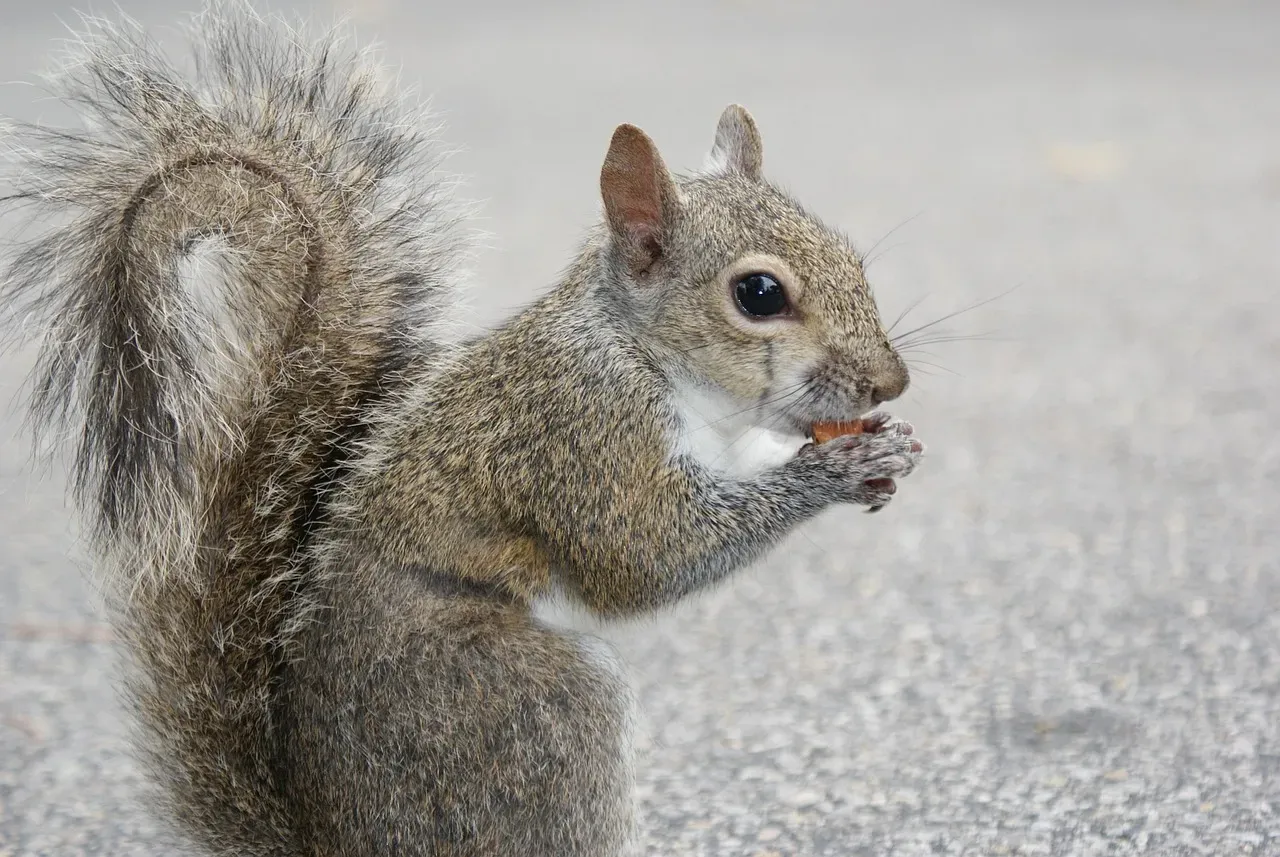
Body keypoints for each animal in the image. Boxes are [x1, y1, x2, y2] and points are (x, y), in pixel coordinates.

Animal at [1, 2, 924, 855]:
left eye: (850, 255)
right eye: (758, 294)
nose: (891, 380)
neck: (650, 358)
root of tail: (340, 837)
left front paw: (884, 446)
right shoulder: (581, 434)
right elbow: (646, 557)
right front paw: (828, 474)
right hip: (519, 708)